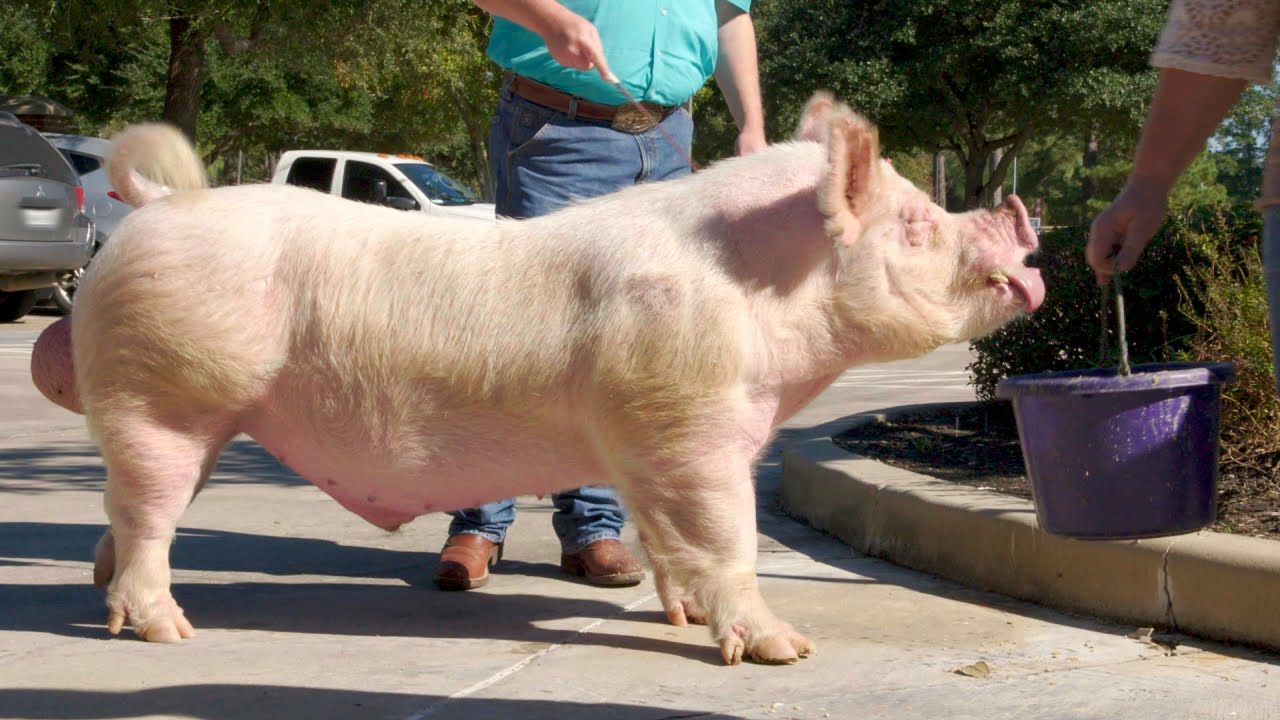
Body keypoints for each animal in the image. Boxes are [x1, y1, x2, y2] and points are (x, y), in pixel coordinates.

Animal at [30, 93, 1043, 665]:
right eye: (916, 224)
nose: (1019, 214)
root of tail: (157, 209)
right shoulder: (691, 421)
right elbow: (726, 539)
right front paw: (789, 651)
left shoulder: (648, 440)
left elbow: (667, 539)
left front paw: (675, 618)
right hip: (165, 396)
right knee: (149, 516)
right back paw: (170, 632)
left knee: (129, 513)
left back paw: (111, 604)